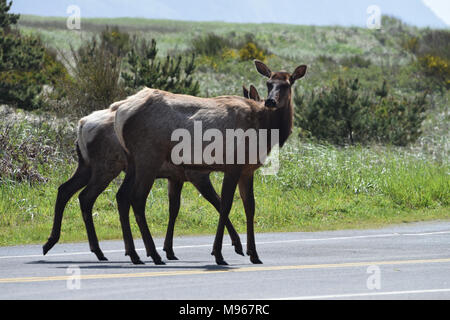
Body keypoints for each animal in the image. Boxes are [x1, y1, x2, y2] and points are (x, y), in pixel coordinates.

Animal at [42, 85, 264, 262]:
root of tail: (81, 124)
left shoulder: (176, 177)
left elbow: (174, 209)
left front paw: (169, 249)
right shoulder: (196, 174)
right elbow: (217, 202)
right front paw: (236, 245)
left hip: (86, 166)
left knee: (65, 190)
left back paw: (57, 242)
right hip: (106, 166)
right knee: (87, 196)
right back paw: (102, 250)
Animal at [114, 60, 308, 264]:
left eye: (287, 84)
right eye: (269, 84)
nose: (271, 101)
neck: (266, 129)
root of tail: (121, 114)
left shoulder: (247, 170)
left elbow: (250, 207)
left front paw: (254, 254)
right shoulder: (232, 165)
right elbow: (225, 204)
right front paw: (219, 253)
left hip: (133, 162)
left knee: (123, 196)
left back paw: (135, 254)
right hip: (149, 156)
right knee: (137, 199)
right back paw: (154, 254)